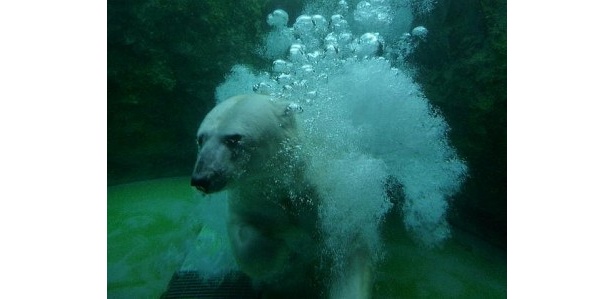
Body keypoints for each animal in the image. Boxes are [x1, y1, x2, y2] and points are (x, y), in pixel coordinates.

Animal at [190, 94, 372, 298]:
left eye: (233, 139)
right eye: (200, 139)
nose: (202, 178)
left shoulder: (327, 200)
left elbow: (349, 245)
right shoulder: (251, 200)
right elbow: (245, 237)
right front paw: (281, 247)